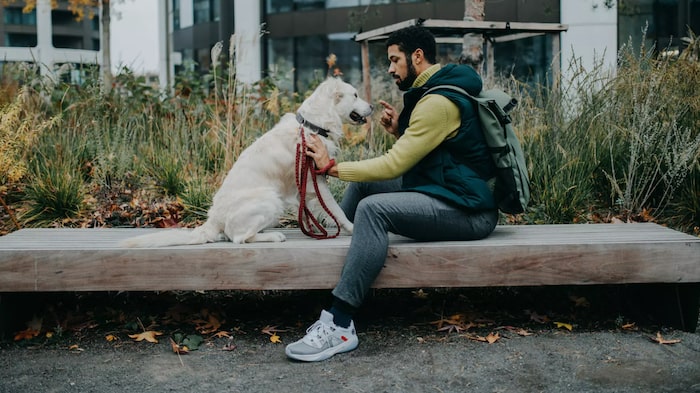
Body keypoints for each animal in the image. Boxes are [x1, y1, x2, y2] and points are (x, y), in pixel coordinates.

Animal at [120, 77, 372, 247]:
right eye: (355, 95)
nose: (372, 107)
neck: (312, 125)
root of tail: (213, 220)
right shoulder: (316, 181)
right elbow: (336, 210)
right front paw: (351, 228)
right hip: (270, 199)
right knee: (239, 238)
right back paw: (273, 236)